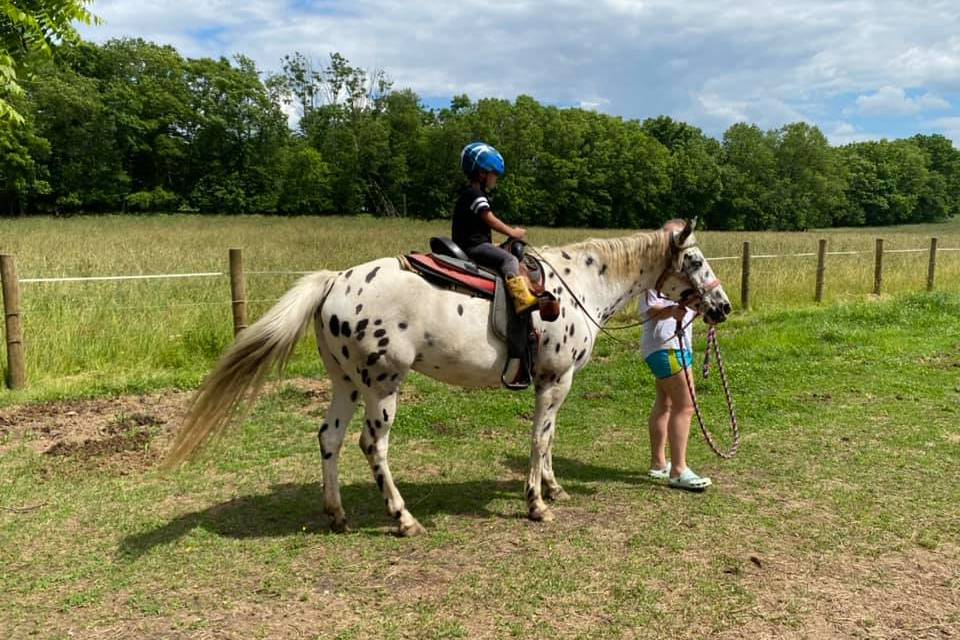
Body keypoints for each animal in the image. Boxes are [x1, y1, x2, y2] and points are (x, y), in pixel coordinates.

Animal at [165, 220, 732, 536]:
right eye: (694, 260)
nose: (722, 307)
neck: (579, 283)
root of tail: (334, 282)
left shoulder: (556, 383)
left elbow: (549, 440)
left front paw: (553, 489)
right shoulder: (555, 380)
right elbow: (539, 438)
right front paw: (536, 504)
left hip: (346, 384)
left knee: (329, 438)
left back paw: (337, 515)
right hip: (383, 386)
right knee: (373, 446)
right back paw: (402, 518)